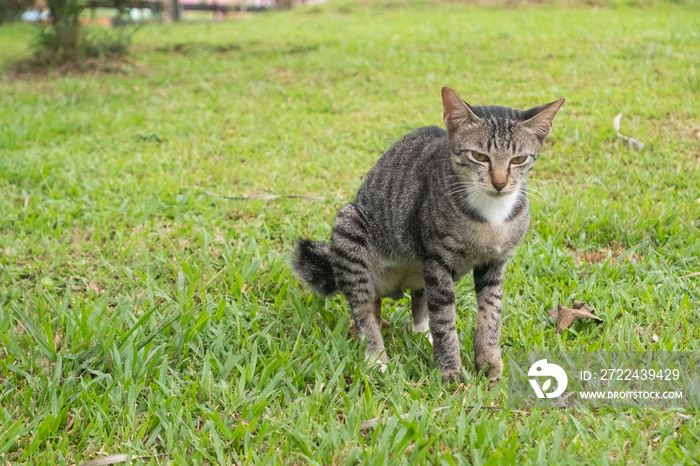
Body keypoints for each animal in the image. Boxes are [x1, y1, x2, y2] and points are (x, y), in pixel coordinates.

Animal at [290, 86, 564, 382]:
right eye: (479, 156)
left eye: (518, 159)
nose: (500, 183)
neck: (491, 214)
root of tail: (390, 287)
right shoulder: (438, 259)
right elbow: (444, 317)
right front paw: (450, 370)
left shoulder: (494, 262)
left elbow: (490, 312)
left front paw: (489, 360)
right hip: (351, 229)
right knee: (364, 309)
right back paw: (375, 357)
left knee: (420, 300)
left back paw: (422, 336)